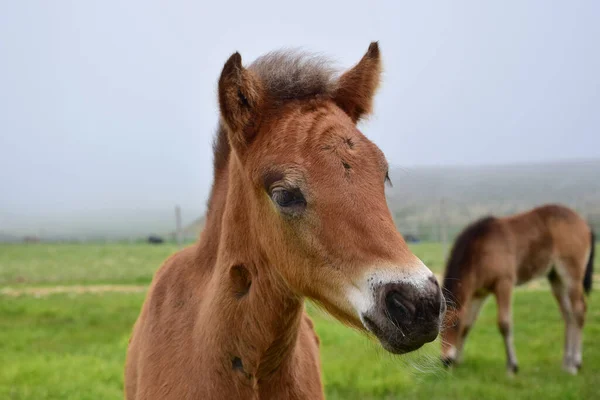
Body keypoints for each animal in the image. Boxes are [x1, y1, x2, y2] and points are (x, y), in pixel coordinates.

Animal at [440, 203, 596, 376]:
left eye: (455, 325)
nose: (445, 361)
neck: (480, 249)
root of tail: (584, 224)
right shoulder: (478, 294)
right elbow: (468, 324)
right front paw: (458, 362)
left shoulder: (504, 284)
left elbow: (504, 324)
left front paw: (512, 367)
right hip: (556, 278)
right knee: (568, 315)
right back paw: (566, 364)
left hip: (571, 276)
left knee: (578, 311)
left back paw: (575, 364)